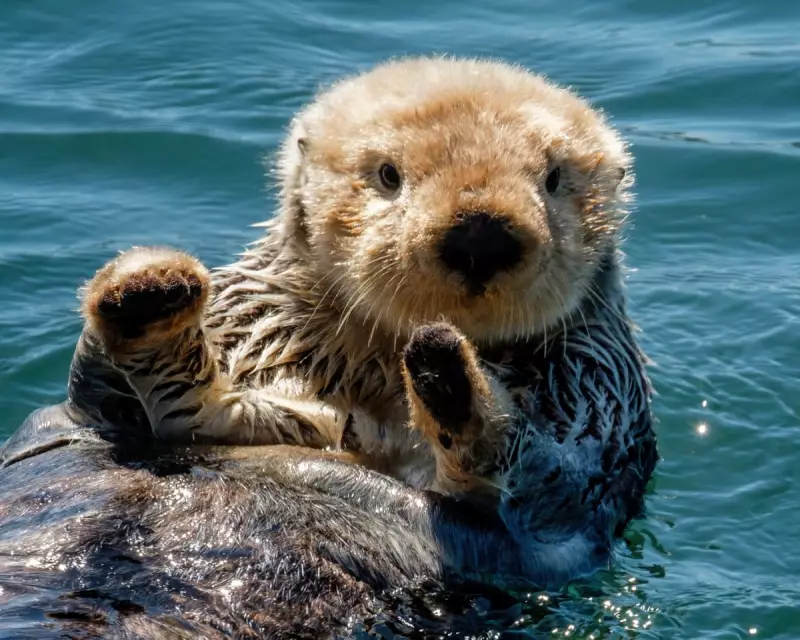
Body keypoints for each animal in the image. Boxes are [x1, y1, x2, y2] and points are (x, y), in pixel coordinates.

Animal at [0, 57, 657, 637]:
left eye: (553, 178)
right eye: (389, 174)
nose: (480, 234)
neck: (374, 371)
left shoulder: (596, 402)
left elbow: (543, 481)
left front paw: (451, 379)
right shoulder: (239, 327)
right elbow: (126, 403)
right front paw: (145, 294)